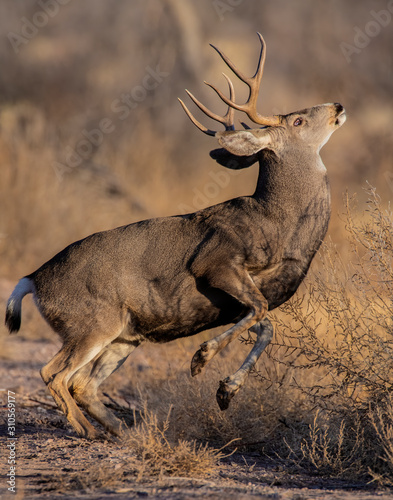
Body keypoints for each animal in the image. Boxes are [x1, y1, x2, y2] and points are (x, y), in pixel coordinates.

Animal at [4, 34, 344, 438]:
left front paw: (226, 391)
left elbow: (266, 326)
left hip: (125, 335)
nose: (338, 105)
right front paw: (201, 360)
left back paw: (123, 432)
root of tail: (33, 280)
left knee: (83, 384)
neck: (279, 225)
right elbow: (261, 312)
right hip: (91, 323)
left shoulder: (245, 296)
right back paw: (88, 430)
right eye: (298, 119)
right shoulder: (215, 262)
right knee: (54, 373)